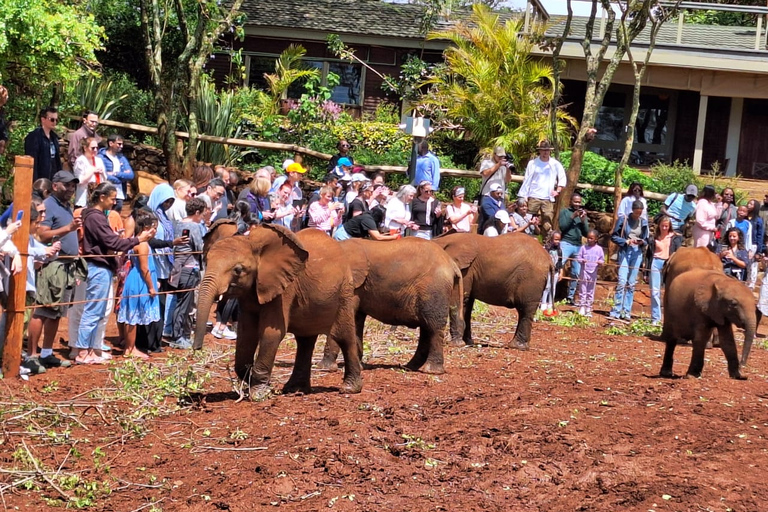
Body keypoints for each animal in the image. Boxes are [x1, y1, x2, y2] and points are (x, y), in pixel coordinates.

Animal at [192, 224, 364, 396]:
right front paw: (255, 383)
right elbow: (246, 333)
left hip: (345, 291)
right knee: (305, 341)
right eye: (205, 261)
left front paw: (259, 393)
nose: (197, 348)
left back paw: (350, 388)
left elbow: (271, 332)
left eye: (238, 270)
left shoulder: (285, 289)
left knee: (344, 336)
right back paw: (295, 389)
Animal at [316, 236, 462, 372]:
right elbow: (356, 319)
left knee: (433, 326)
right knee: (426, 327)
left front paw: (324, 368)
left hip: (433, 288)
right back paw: (409, 367)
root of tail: (452, 264)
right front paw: (358, 367)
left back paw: (431, 370)